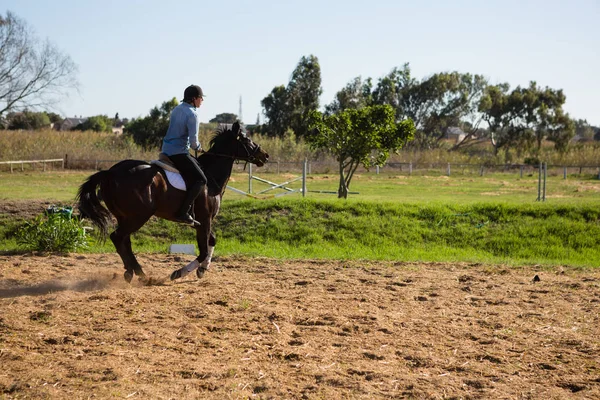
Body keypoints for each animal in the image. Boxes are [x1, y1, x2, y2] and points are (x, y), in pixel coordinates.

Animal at [76, 122, 268, 282]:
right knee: (118, 237)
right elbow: (203, 250)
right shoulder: (205, 219)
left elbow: (212, 242)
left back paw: (133, 271)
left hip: (125, 216)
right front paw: (179, 273)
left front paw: (202, 269)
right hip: (139, 216)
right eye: (246, 139)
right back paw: (139, 273)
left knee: (124, 241)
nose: (265, 156)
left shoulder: (201, 222)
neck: (212, 177)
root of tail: (110, 172)